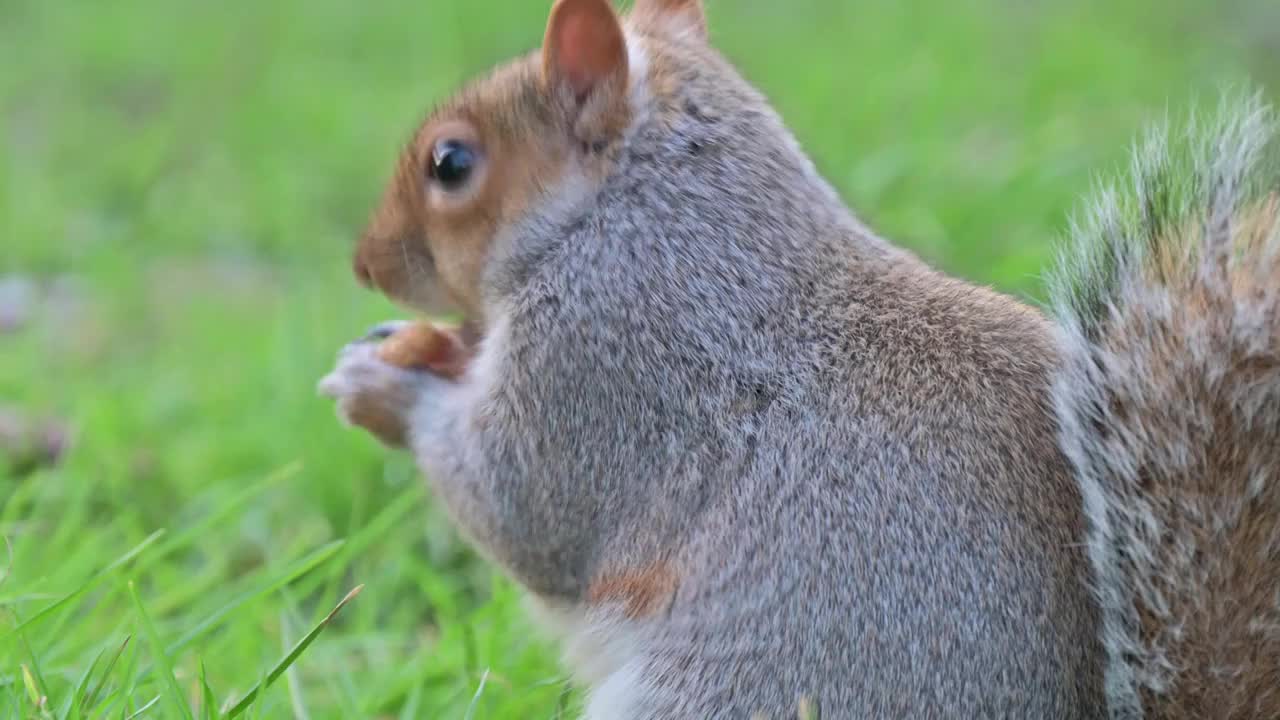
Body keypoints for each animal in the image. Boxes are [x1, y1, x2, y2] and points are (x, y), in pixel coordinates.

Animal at [314, 1, 1274, 712]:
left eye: (451, 163)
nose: (364, 264)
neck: (648, 211)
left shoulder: (604, 359)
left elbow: (520, 507)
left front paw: (383, 388)